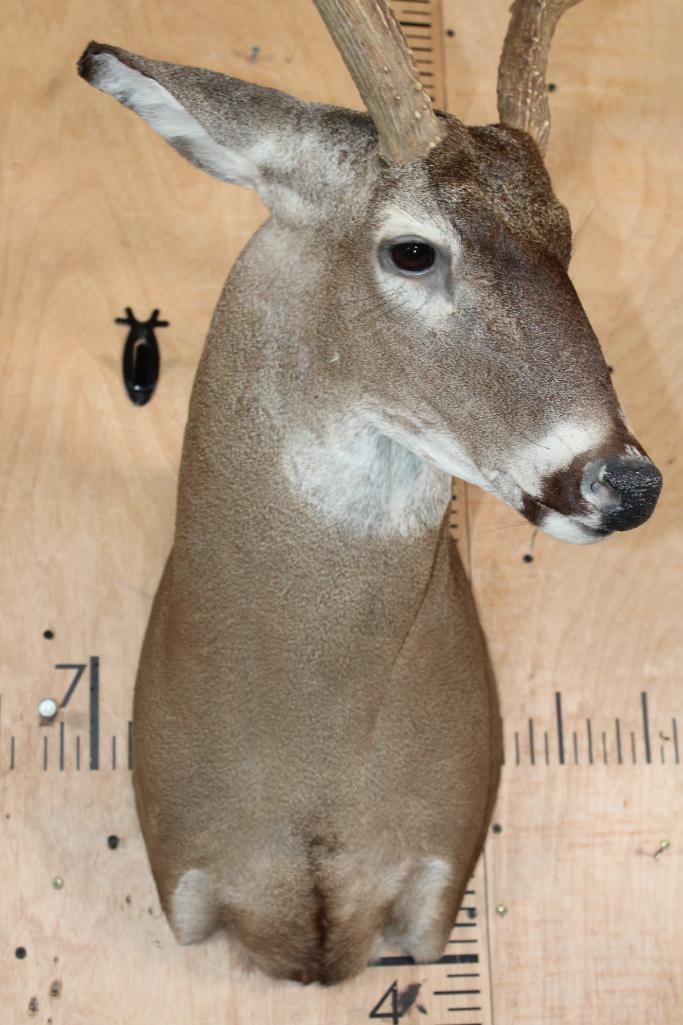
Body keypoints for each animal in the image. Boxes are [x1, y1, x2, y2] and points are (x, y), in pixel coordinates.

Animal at [77, 0, 662, 987]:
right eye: (412, 249)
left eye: (565, 239)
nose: (626, 482)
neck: (316, 758)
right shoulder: (182, 877)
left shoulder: (439, 875)